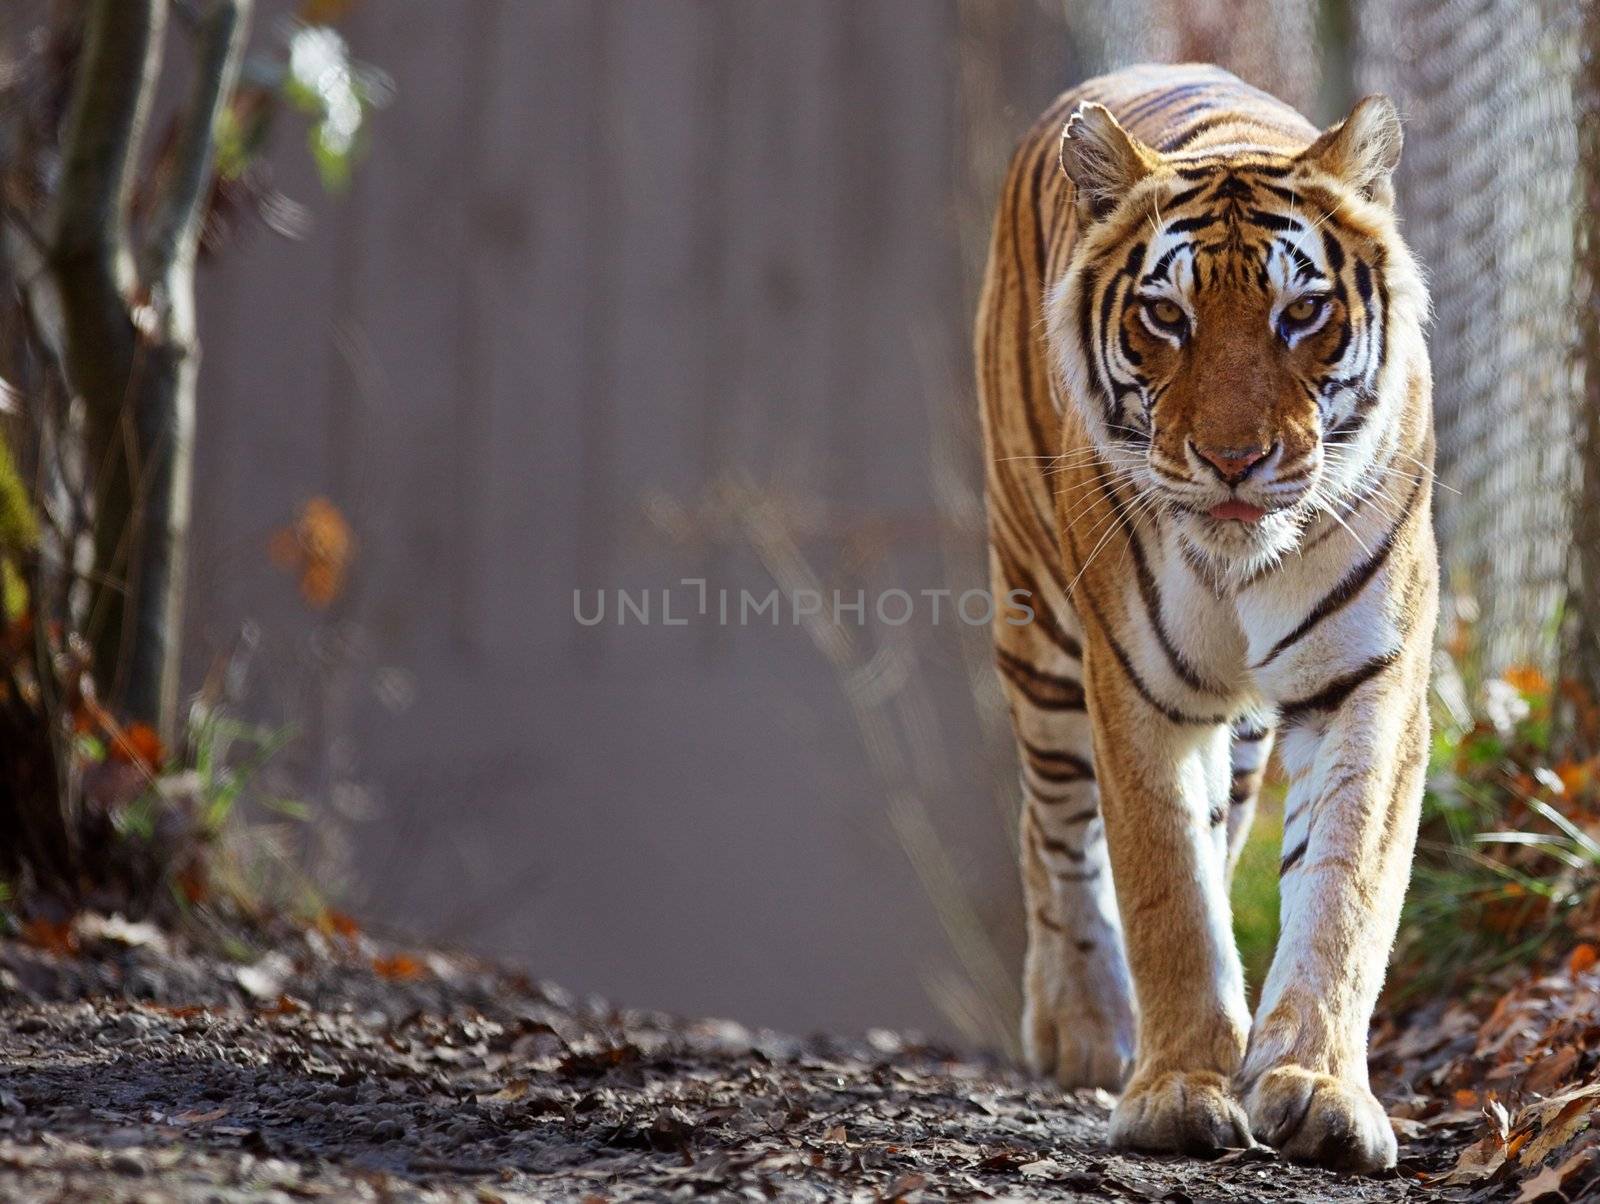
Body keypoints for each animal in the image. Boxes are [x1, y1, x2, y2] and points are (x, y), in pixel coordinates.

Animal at [972, 61, 1440, 1171]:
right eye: (1166, 317)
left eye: (1302, 312)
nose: (1233, 460)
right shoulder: (1137, 688)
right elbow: (1165, 893)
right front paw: (1178, 1093)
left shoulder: (1368, 680)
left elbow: (1343, 892)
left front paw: (1316, 1090)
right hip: (1039, 635)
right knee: (1052, 827)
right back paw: (1085, 1028)